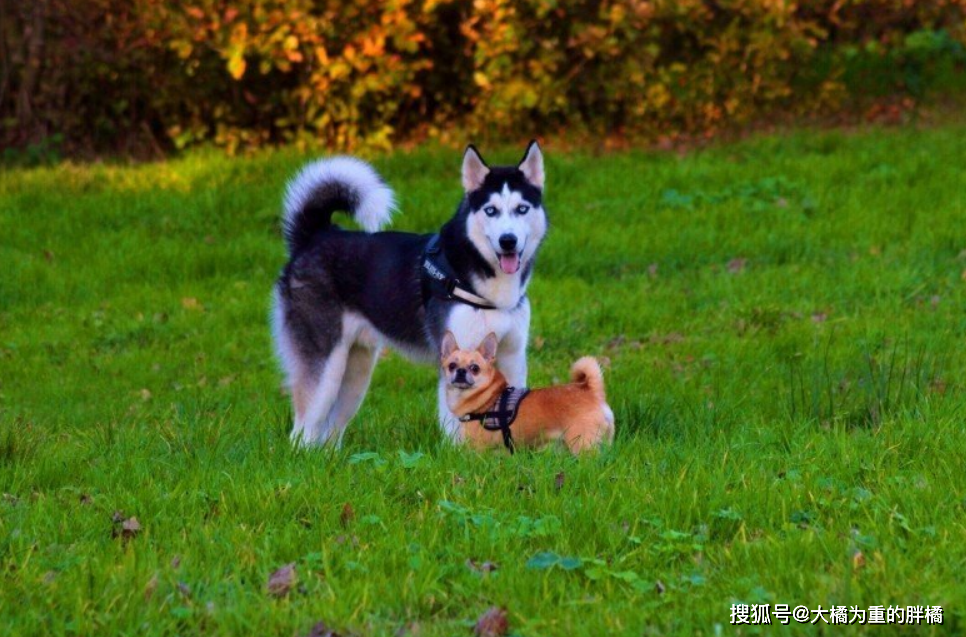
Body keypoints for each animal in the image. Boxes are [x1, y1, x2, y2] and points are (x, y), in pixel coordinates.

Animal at [442, 332, 616, 452]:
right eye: (451, 366)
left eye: (475, 368)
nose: (461, 371)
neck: (487, 398)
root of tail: (592, 391)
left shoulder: (478, 449)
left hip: (582, 443)